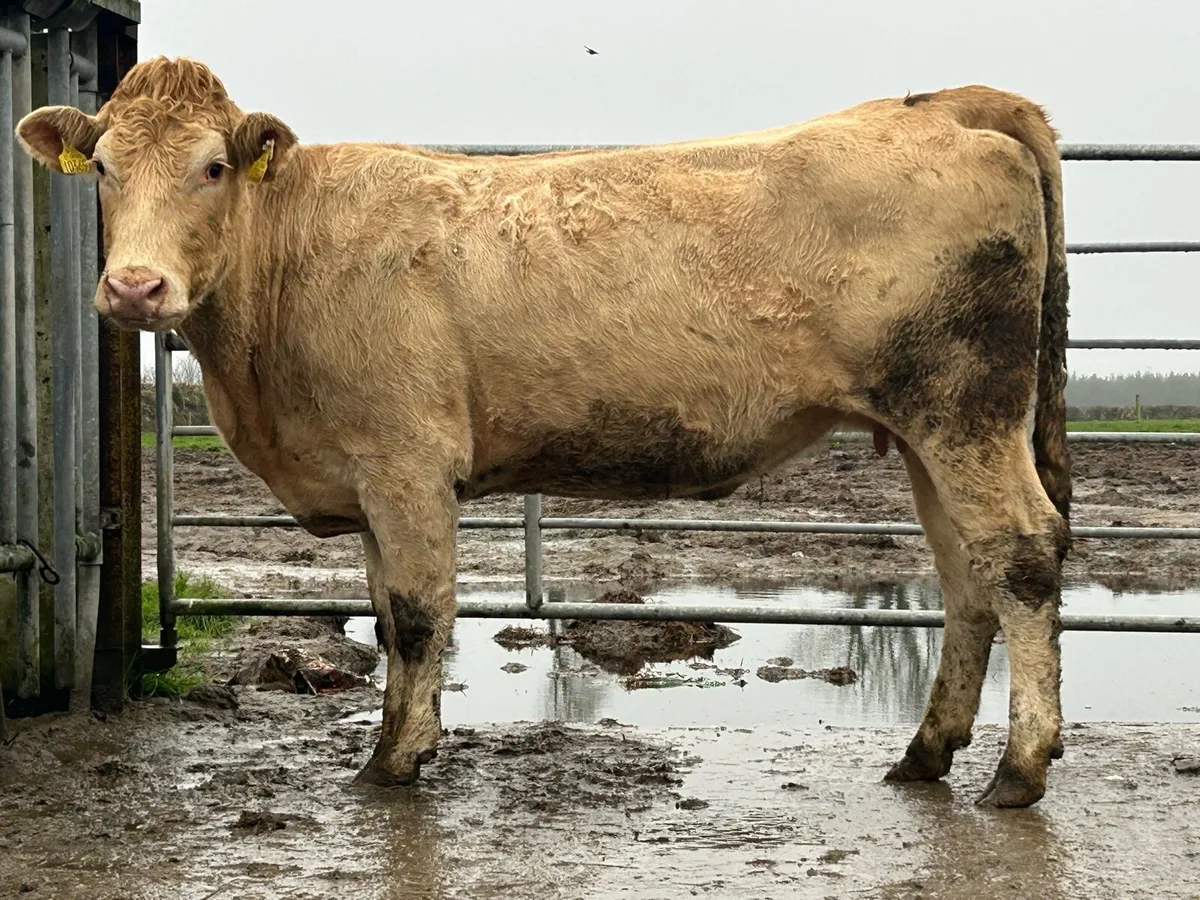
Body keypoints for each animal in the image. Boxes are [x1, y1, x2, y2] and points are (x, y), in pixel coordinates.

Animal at [17, 58, 1072, 808]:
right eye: (102, 168)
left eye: (213, 167)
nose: (135, 288)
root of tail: (937, 107)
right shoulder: (367, 479)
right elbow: (388, 611)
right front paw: (401, 737)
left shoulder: (405, 463)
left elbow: (417, 613)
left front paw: (394, 761)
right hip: (934, 432)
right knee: (965, 576)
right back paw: (926, 753)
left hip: (965, 409)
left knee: (1020, 554)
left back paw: (1018, 770)